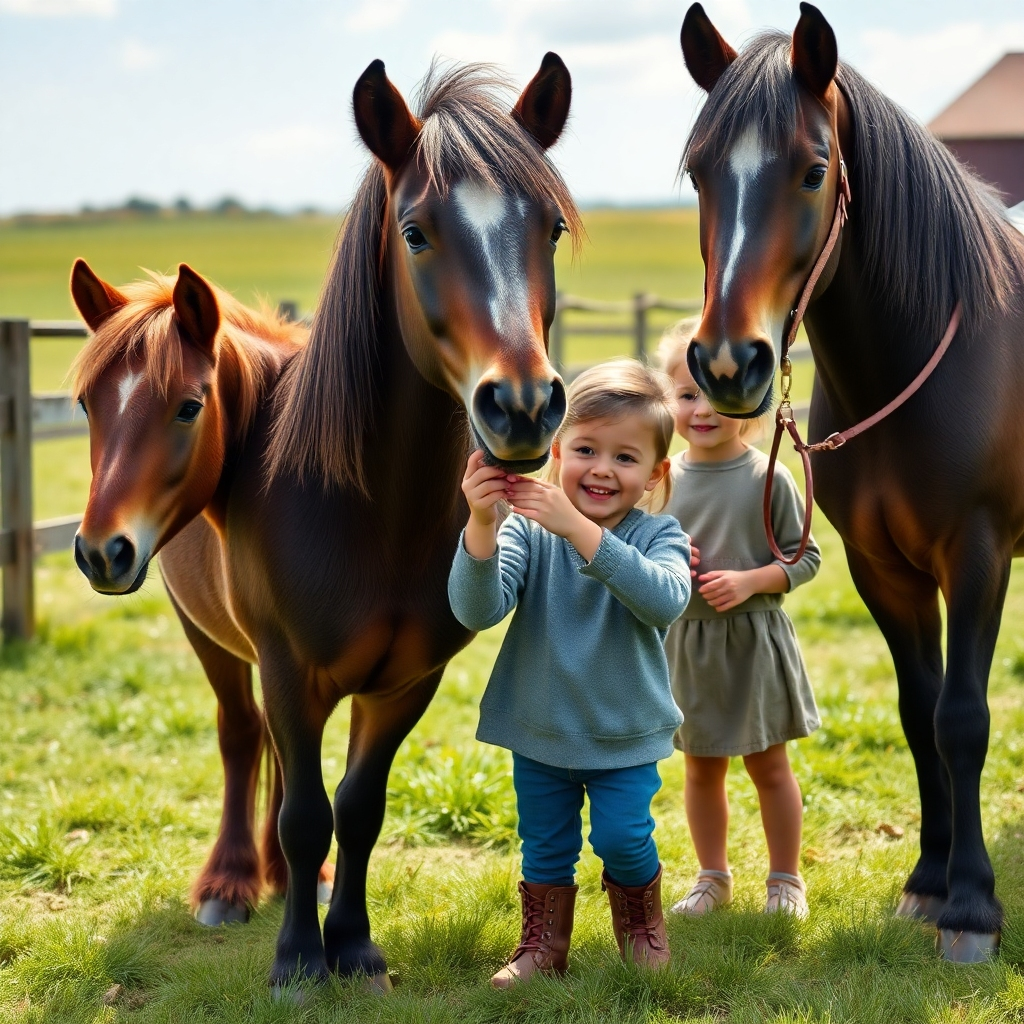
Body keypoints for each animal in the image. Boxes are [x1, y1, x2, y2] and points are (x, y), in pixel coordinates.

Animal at [68, 261, 338, 921]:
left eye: (190, 407)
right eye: (86, 405)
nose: (101, 552)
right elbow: (244, 735)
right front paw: (230, 880)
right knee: (249, 729)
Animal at [678, 2, 1024, 961]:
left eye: (813, 169)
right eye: (697, 171)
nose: (730, 364)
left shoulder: (978, 555)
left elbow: (962, 718)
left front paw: (973, 907)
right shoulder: (880, 567)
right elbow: (917, 712)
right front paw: (929, 882)